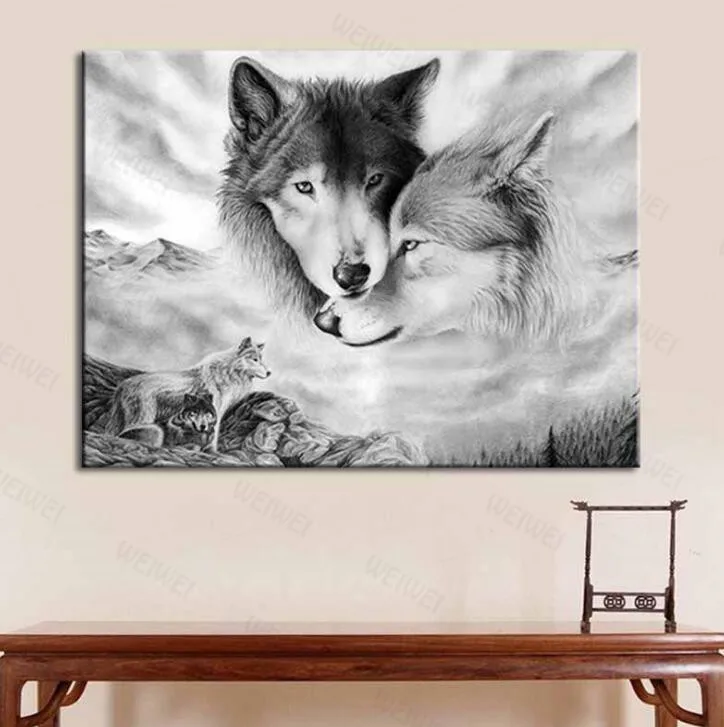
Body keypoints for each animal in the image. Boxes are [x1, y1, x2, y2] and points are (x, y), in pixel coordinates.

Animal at [106, 337, 270, 452]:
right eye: (255, 360)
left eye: (262, 360)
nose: (269, 372)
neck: (227, 373)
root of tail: (123, 385)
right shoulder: (214, 411)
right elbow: (213, 436)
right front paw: (212, 452)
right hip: (144, 418)